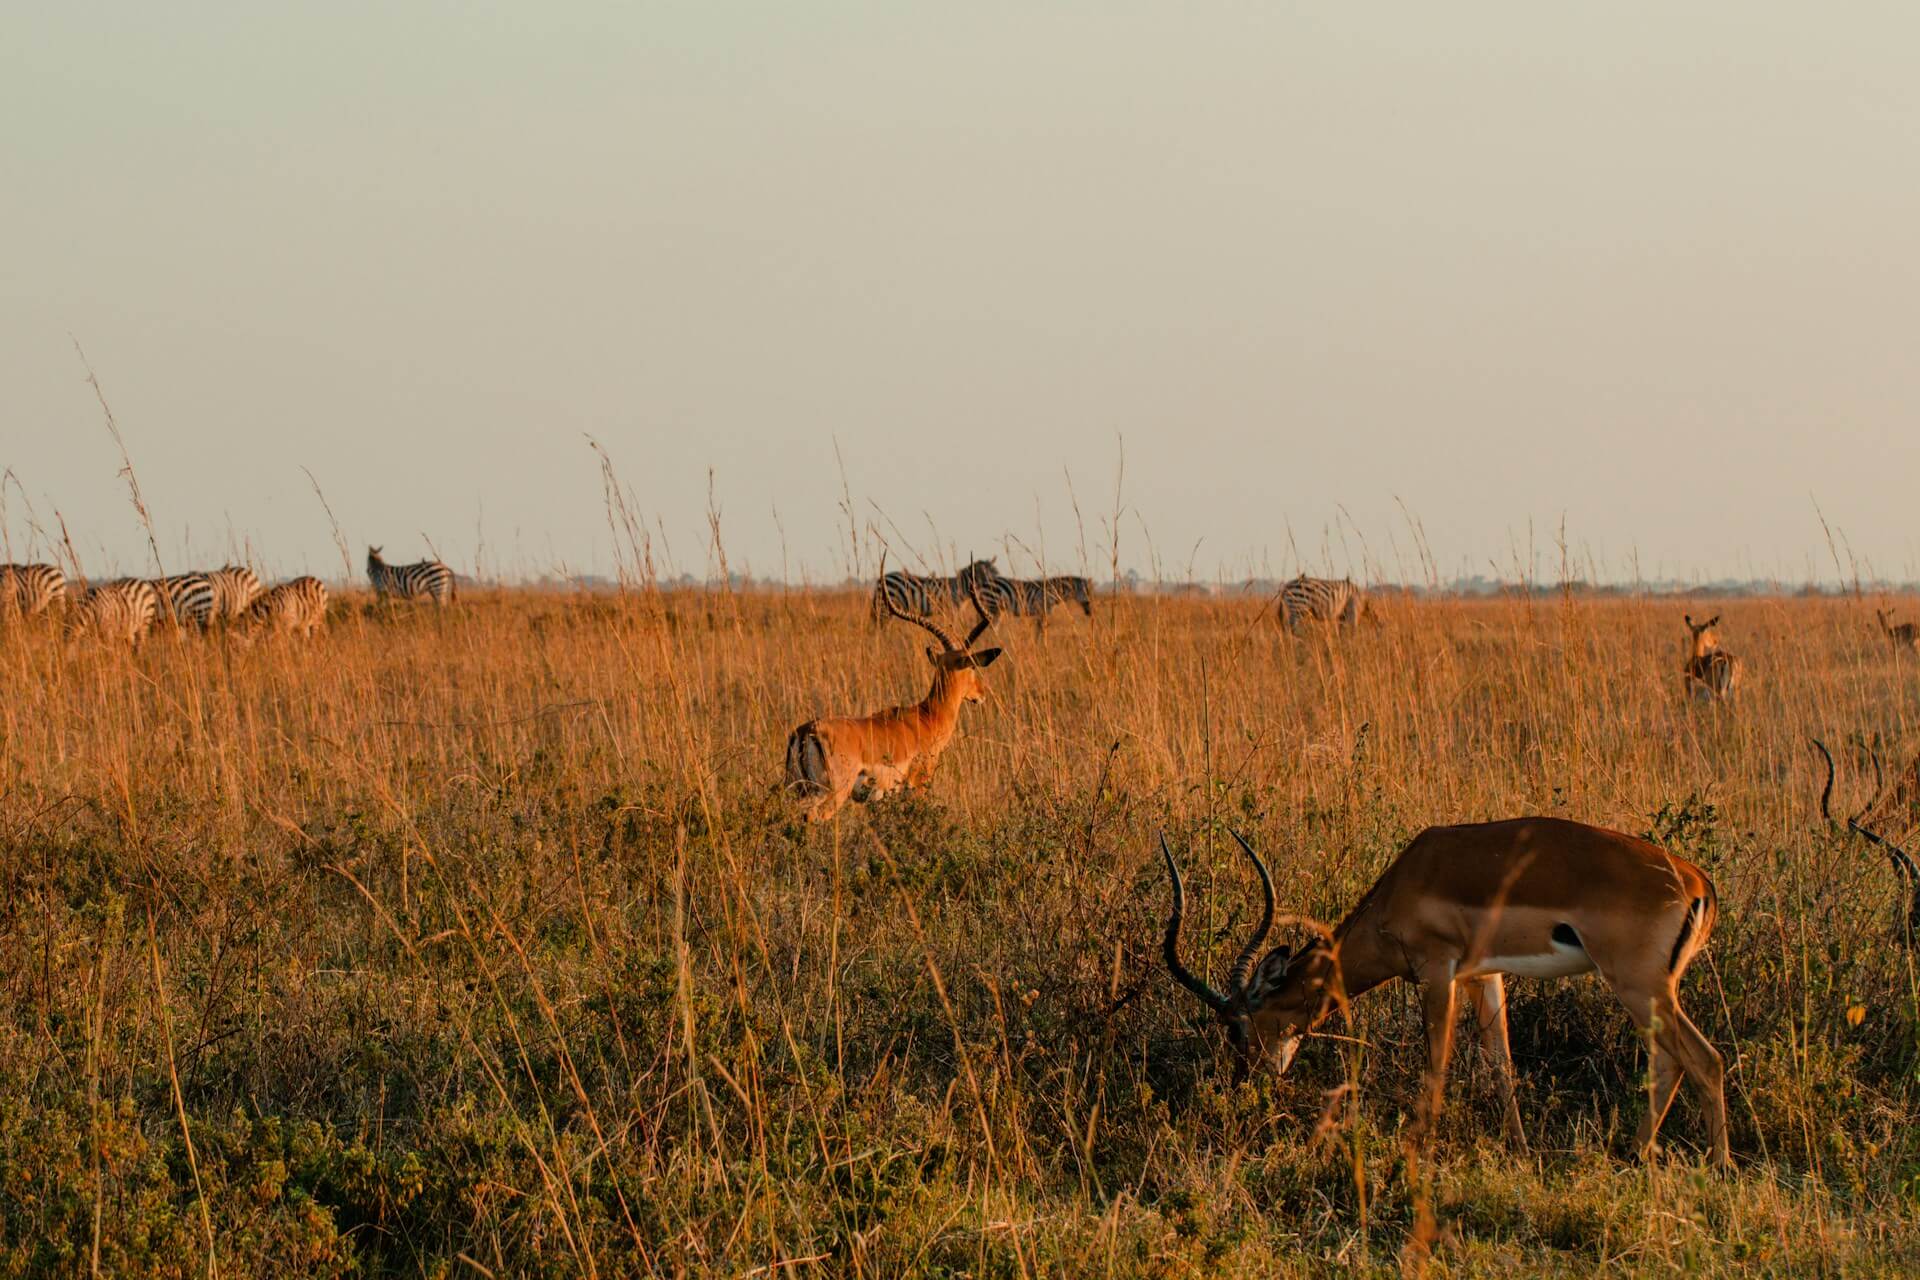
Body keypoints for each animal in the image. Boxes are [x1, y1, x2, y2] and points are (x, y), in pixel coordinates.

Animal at [791, 556, 1006, 821]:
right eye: (973, 666)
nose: (981, 694)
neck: (928, 717)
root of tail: (807, 730)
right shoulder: (917, 786)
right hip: (831, 793)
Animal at [1159, 821, 1735, 1174]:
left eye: (1237, 1024)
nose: (1244, 1080)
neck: (1403, 883)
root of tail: (1696, 880)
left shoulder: (1437, 973)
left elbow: (1436, 1064)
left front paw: (1417, 1152)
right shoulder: (1485, 976)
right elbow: (1501, 1065)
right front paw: (1520, 1152)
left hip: (1638, 985)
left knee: (1705, 1060)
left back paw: (1720, 1166)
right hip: (1650, 993)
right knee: (1671, 1064)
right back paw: (1636, 1156)